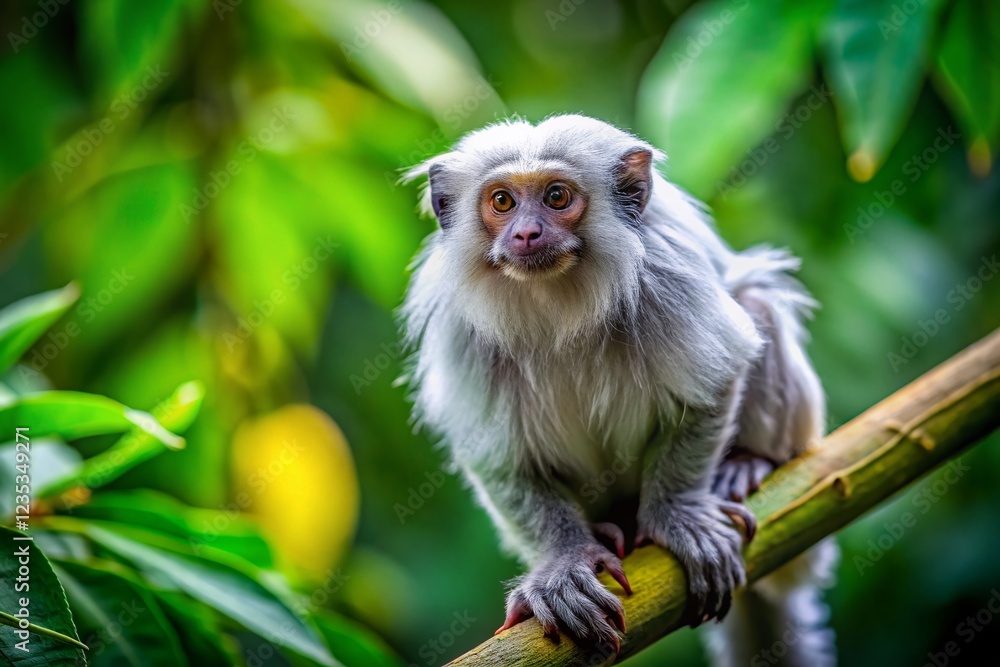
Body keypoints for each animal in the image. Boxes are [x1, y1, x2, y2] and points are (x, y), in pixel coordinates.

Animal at [401, 115, 836, 665]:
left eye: (557, 196)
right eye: (502, 201)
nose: (526, 232)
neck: (557, 301)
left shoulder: (667, 277)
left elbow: (713, 382)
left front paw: (676, 517)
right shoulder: (463, 331)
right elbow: (498, 458)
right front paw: (563, 564)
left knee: (755, 302)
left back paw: (747, 464)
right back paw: (614, 528)